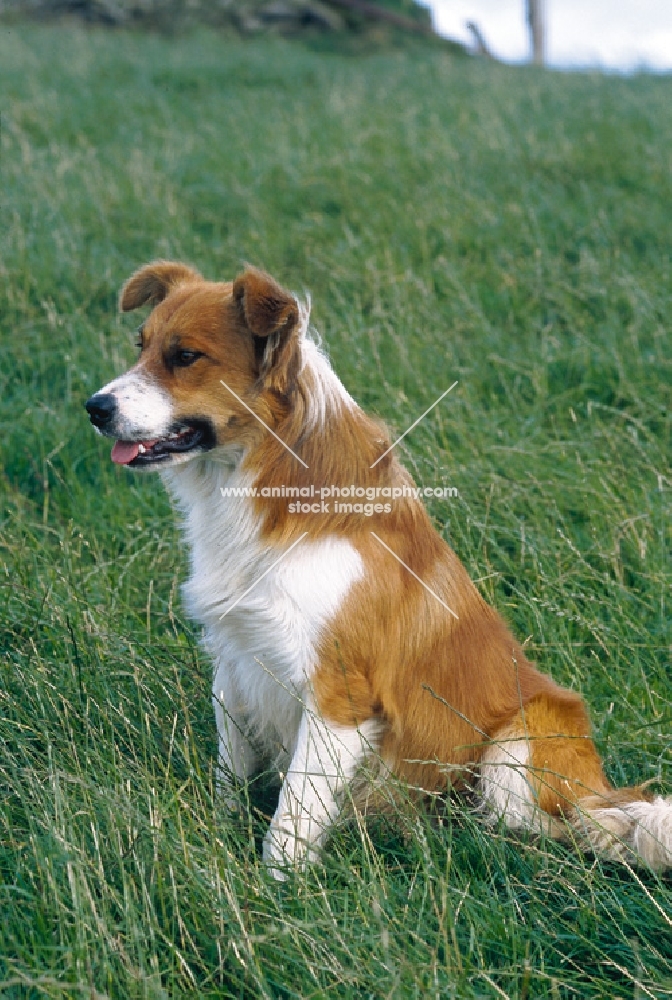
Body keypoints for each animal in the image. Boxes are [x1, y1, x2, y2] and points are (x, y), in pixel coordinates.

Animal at [86, 264, 672, 876]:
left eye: (186, 356)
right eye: (142, 347)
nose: (94, 407)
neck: (266, 480)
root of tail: (599, 788)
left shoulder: (337, 695)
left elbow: (293, 812)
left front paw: (276, 885)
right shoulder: (235, 660)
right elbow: (232, 769)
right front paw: (223, 832)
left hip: (518, 746)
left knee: (559, 832)